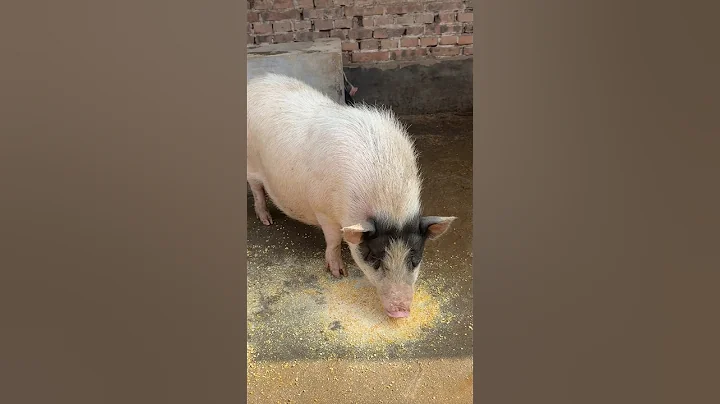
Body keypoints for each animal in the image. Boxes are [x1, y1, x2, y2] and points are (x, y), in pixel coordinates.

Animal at [247, 73, 456, 318]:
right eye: (374, 258)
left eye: (414, 259)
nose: (401, 313)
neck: (388, 204)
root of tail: (254, 83)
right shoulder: (323, 211)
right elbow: (334, 240)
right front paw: (339, 273)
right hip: (251, 164)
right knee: (256, 189)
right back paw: (267, 221)